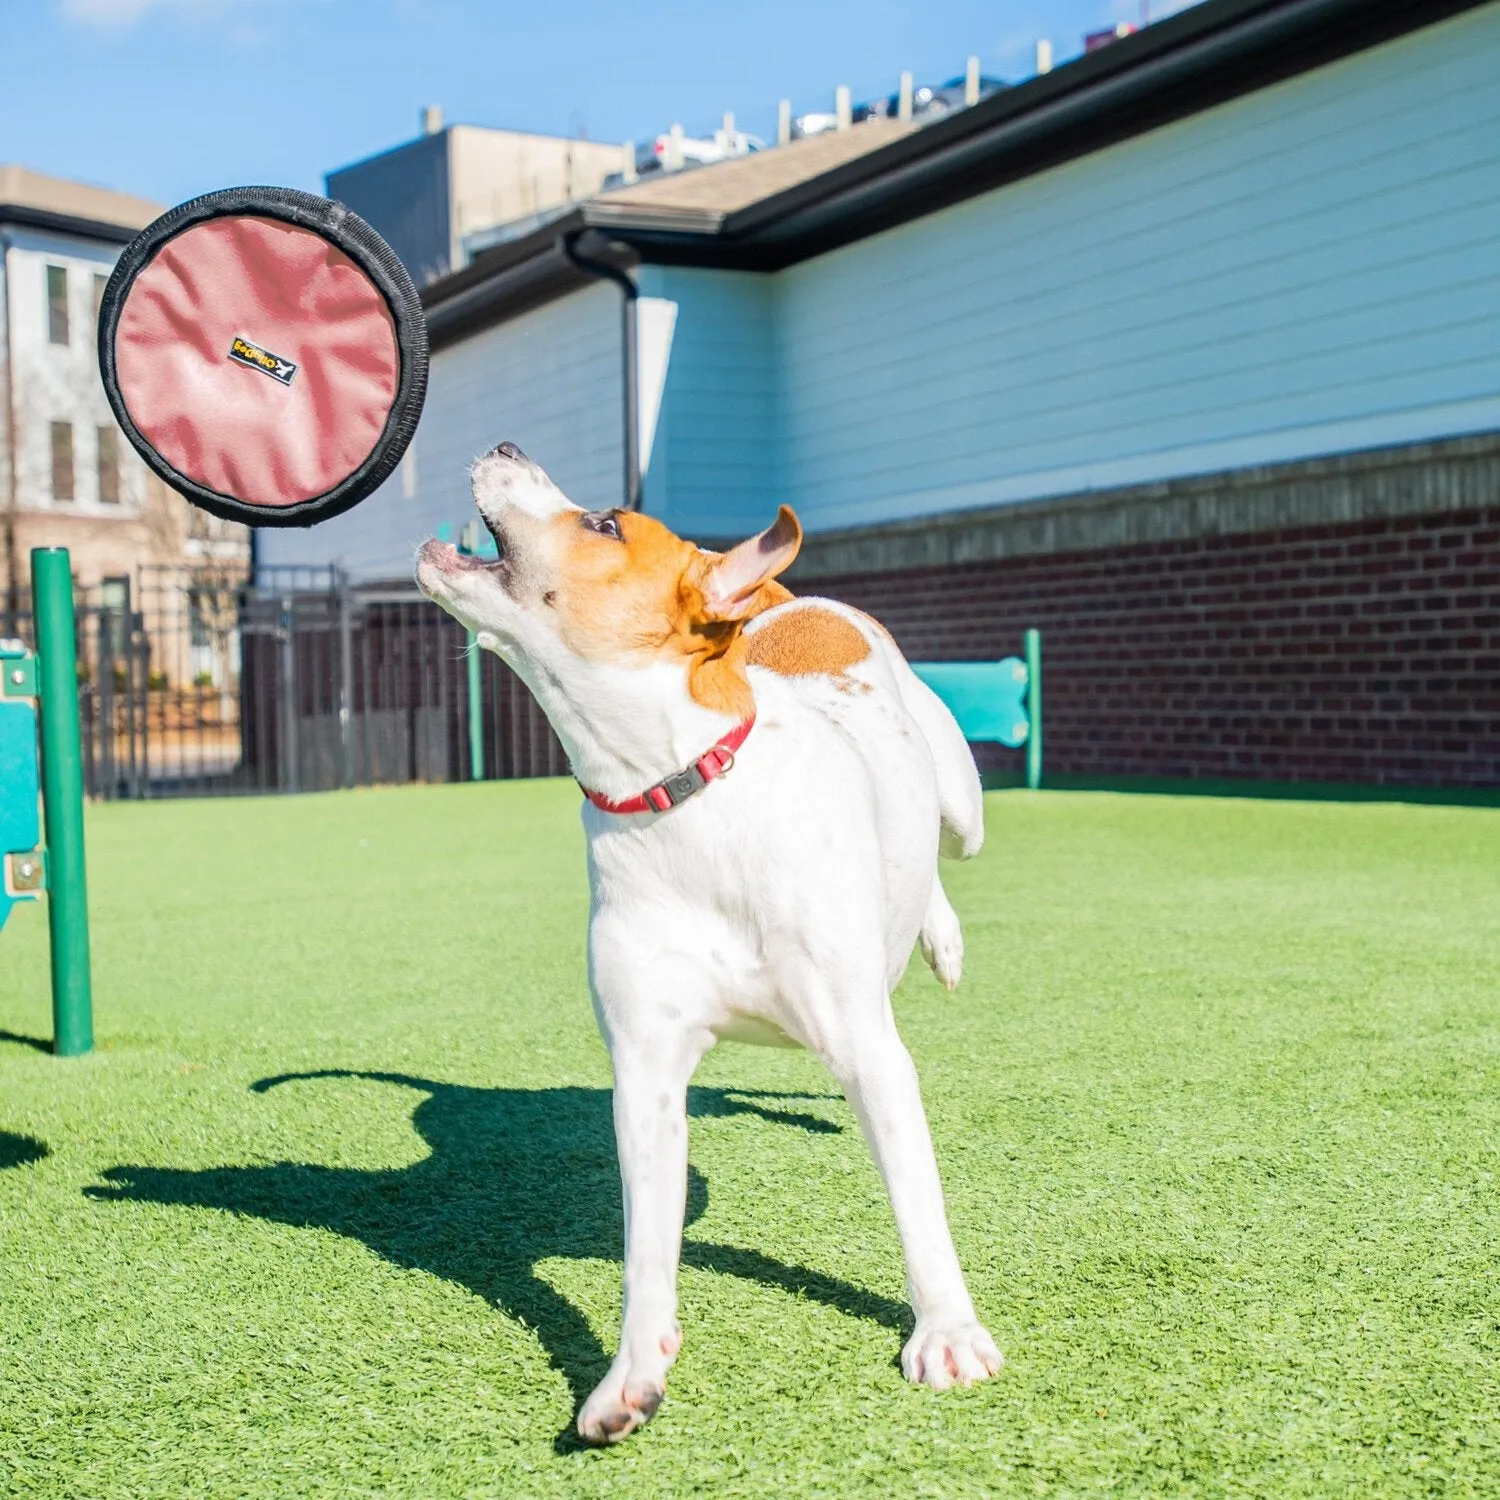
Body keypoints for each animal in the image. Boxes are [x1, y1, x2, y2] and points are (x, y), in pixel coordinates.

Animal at [414, 441, 996, 1440]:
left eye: (605, 523)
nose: (505, 447)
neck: (682, 792)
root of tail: (791, 604)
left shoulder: (870, 1055)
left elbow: (919, 1205)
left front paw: (948, 1331)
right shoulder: (647, 1073)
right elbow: (647, 1248)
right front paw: (629, 1376)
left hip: (962, 805)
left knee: (943, 851)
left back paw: (942, 935)